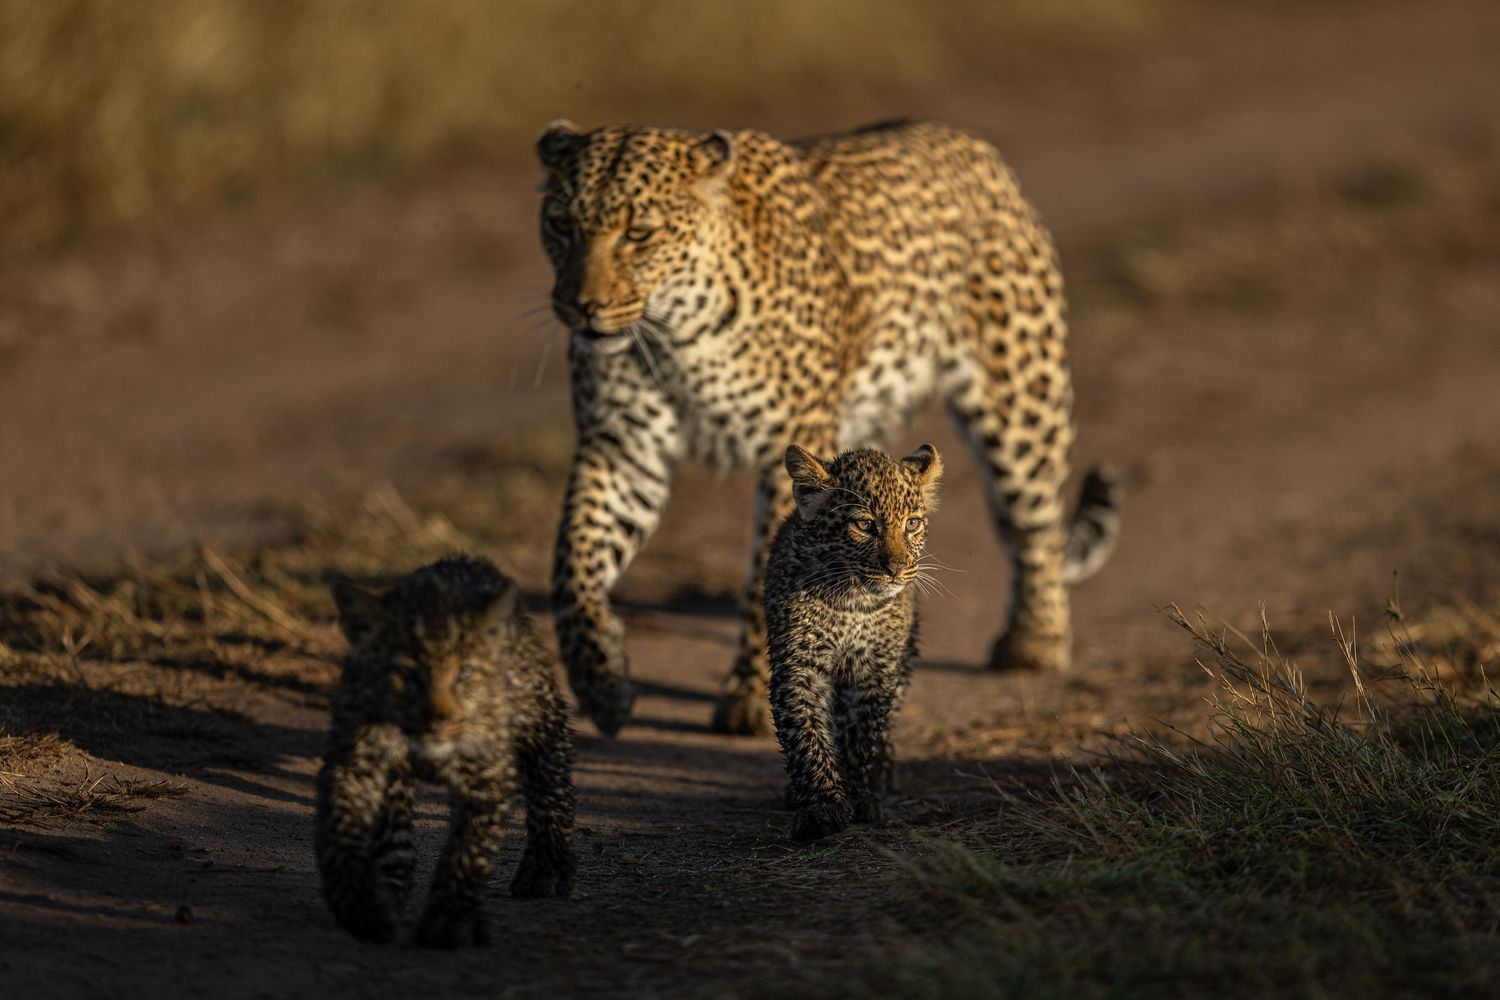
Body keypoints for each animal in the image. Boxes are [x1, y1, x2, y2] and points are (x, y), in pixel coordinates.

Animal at [315, 555, 575, 948]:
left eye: (465, 673)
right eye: (407, 675)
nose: (439, 721)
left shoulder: (486, 777)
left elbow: (467, 851)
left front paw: (449, 921)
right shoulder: (355, 765)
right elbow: (339, 839)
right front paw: (363, 909)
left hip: (540, 715)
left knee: (552, 782)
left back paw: (548, 868)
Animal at [535, 117, 1121, 738]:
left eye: (639, 234)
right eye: (560, 226)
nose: (581, 306)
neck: (671, 332)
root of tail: (975, 148)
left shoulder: (790, 446)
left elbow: (765, 578)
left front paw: (750, 695)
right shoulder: (621, 448)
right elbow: (573, 563)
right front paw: (601, 684)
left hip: (1021, 395)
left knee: (1033, 523)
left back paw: (1035, 637)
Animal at [766, 443, 943, 843]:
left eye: (912, 524)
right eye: (864, 525)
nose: (896, 568)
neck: (854, 603)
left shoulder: (876, 671)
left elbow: (861, 734)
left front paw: (858, 795)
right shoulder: (799, 665)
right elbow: (806, 735)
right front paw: (822, 806)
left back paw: (882, 776)